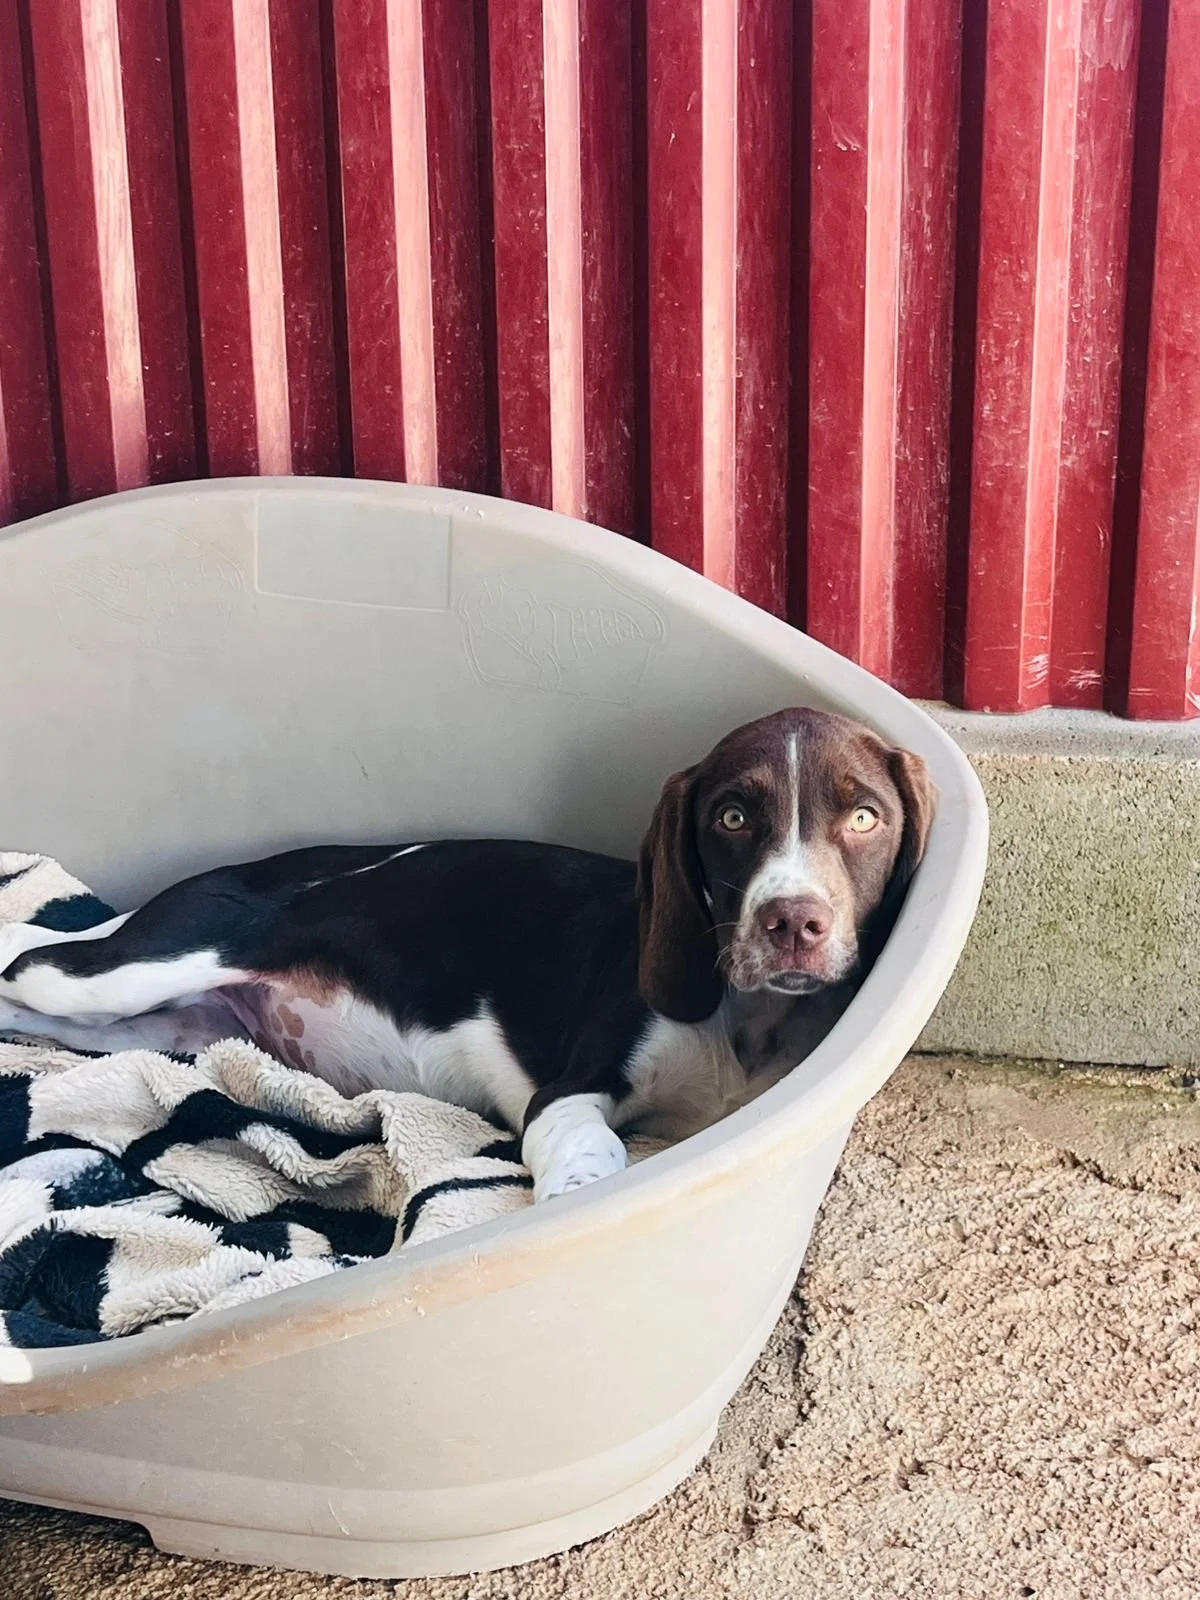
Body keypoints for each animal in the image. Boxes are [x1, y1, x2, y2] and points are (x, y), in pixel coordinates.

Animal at [0, 708, 934, 1201]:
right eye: (733, 817)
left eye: (865, 817)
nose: (793, 922)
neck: (749, 1018)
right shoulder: (567, 1092)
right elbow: (592, 1150)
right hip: (142, 966)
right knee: (28, 966)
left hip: (167, 1032)